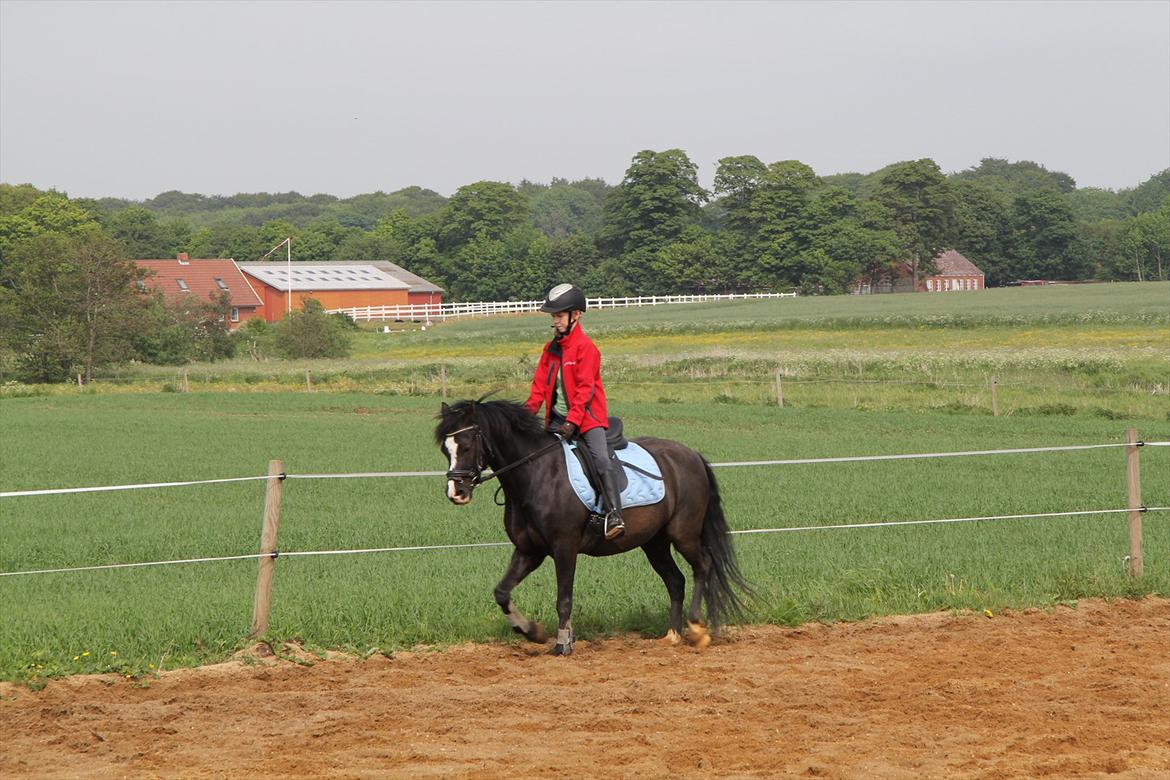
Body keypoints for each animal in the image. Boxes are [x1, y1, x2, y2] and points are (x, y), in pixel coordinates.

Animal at [437, 399, 748, 654]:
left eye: (466, 445)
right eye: (445, 449)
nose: (456, 493)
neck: (537, 475)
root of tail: (691, 454)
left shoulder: (564, 547)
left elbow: (563, 598)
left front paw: (563, 644)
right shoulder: (529, 551)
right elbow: (502, 592)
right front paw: (532, 632)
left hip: (683, 534)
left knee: (703, 566)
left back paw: (696, 629)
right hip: (654, 542)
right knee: (675, 580)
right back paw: (672, 635)